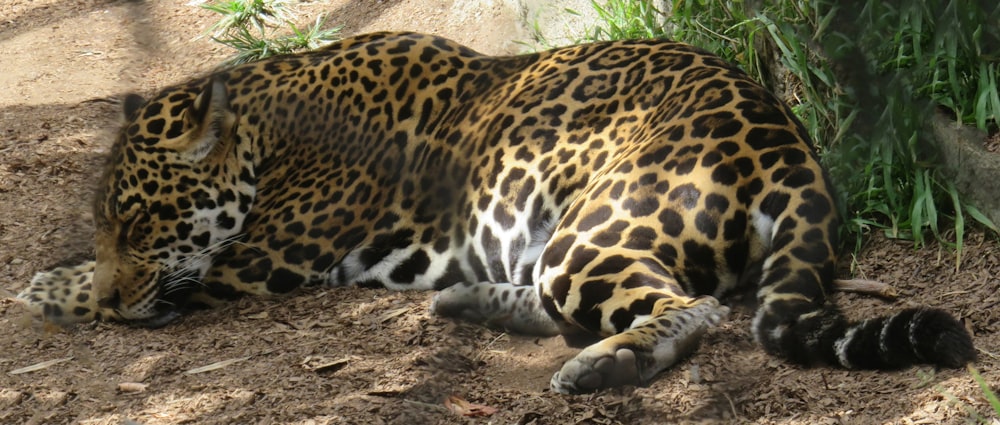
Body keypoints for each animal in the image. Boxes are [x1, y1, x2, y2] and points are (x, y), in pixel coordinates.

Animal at [15, 31, 972, 392]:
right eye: (110, 221)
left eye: (142, 224)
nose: (117, 295)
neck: (264, 123)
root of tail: (790, 143)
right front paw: (64, 282)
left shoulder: (264, 255)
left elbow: (148, 280)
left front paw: (50, 290)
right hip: (565, 239)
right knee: (566, 301)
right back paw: (466, 299)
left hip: (597, 225)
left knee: (688, 306)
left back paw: (611, 362)